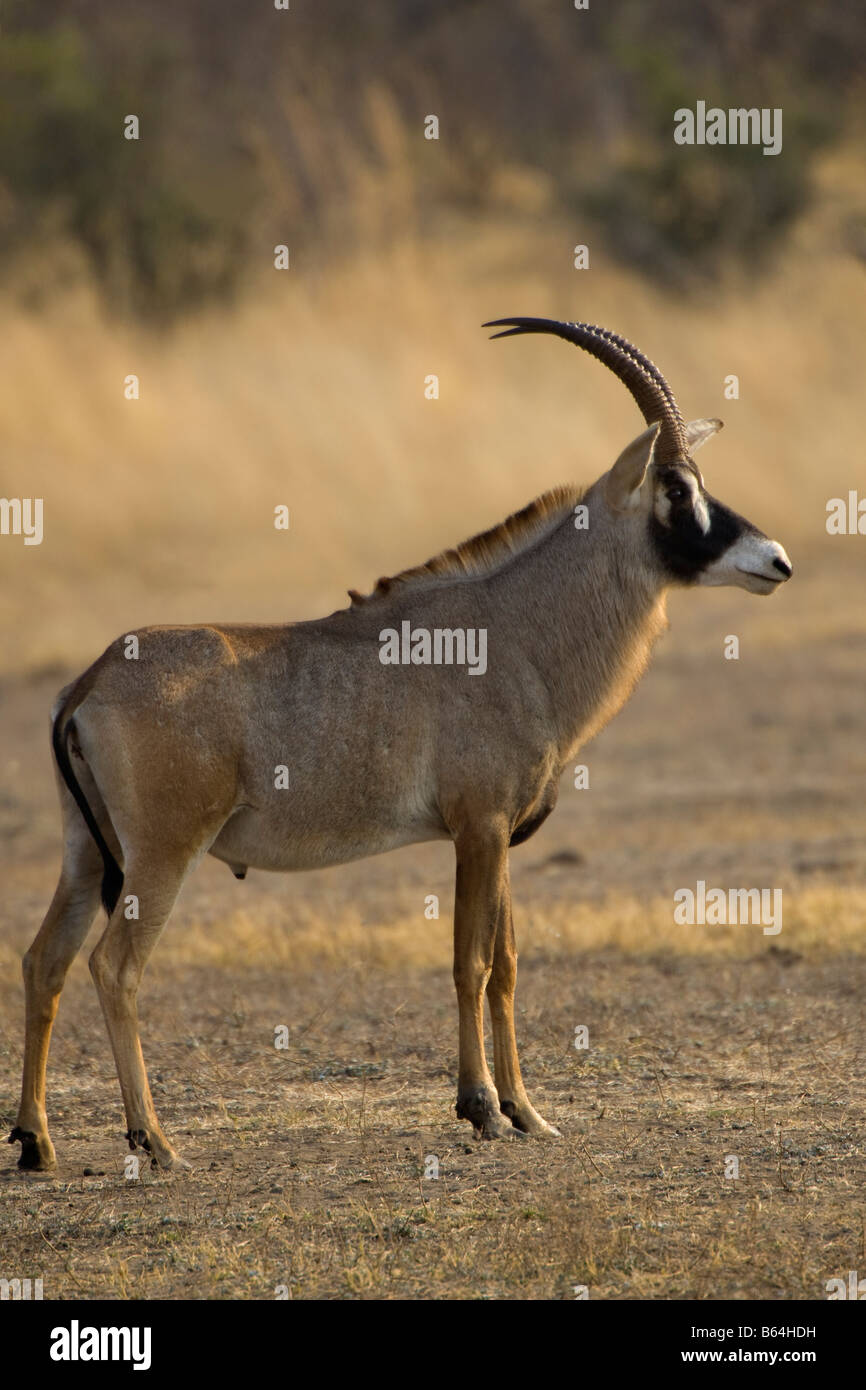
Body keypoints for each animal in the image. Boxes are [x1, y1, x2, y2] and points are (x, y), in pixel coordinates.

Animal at [8, 319, 795, 1167]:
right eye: (677, 487)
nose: (776, 561)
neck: (513, 631)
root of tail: (88, 682)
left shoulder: (500, 835)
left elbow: (508, 966)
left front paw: (528, 1111)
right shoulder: (478, 828)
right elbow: (470, 961)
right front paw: (481, 1107)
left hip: (88, 853)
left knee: (45, 960)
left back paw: (36, 1140)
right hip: (161, 853)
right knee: (113, 966)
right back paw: (153, 1140)